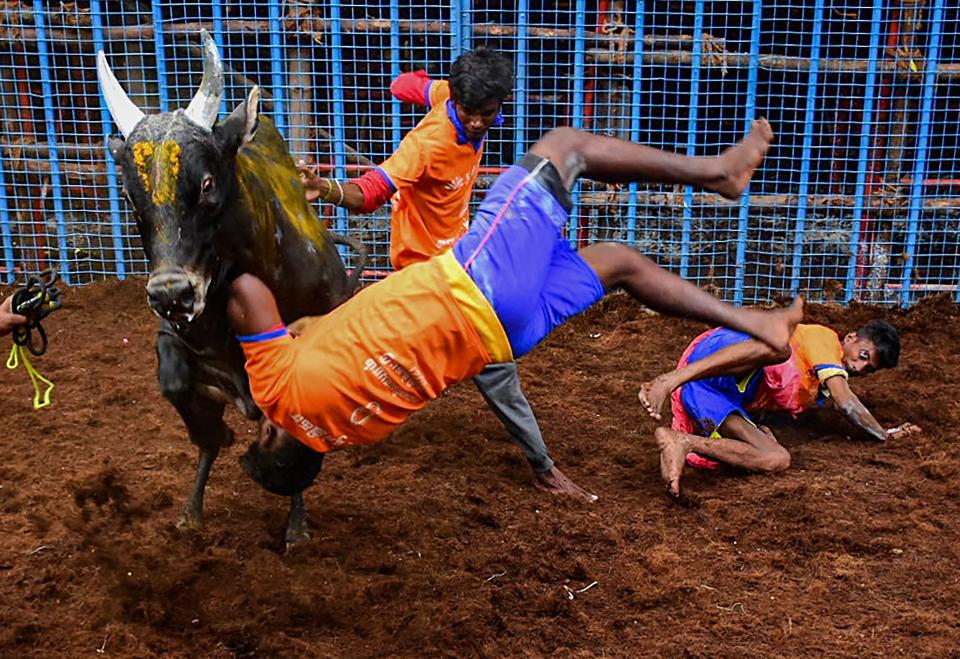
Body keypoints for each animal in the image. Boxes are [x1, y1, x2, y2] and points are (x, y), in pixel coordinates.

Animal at [99, 36, 366, 544]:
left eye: (206, 183)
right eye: (129, 195)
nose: (171, 294)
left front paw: (296, 523)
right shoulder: (173, 336)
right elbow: (178, 384)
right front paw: (213, 445)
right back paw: (192, 509)